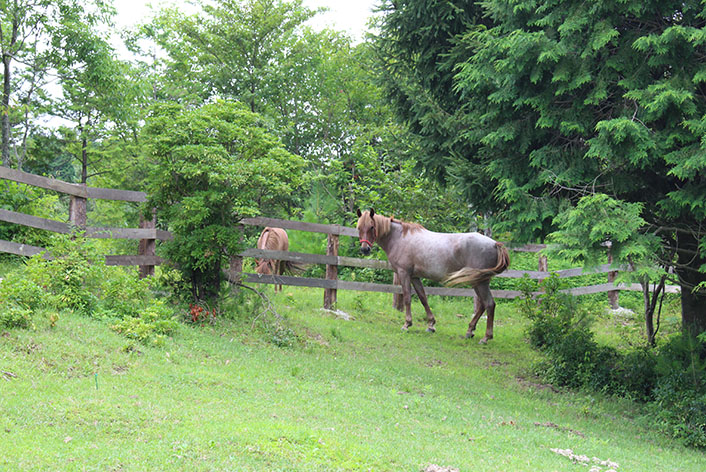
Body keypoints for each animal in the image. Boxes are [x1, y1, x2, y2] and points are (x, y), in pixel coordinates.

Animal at [354, 210, 508, 342]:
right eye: (358, 227)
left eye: (372, 227)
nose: (365, 249)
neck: (399, 238)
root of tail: (495, 244)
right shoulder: (415, 276)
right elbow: (423, 298)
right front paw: (431, 325)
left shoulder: (404, 273)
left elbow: (407, 298)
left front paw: (407, 324)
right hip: (478, 282)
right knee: (483, 305)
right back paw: (470, 331)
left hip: (480, 283)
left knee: (489, 304)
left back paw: (486, 337)